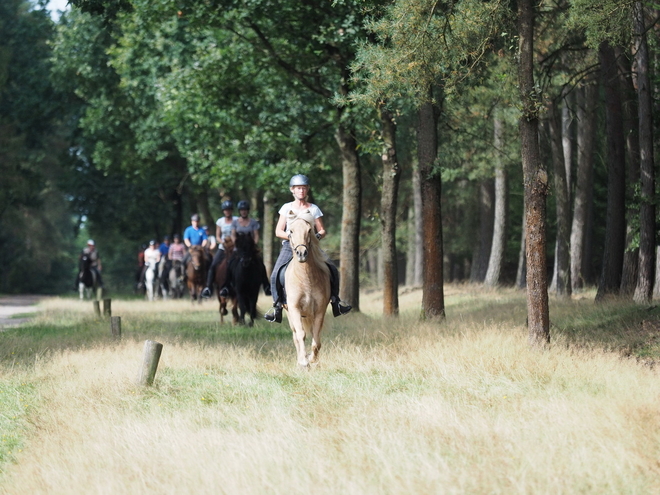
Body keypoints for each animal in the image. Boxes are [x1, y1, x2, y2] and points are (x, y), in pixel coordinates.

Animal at [284, 210, 330, 368]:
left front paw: (312, 359)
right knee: (295, 335)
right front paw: (304, 361)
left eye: (309, 230)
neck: (305, 278)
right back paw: (300, 360)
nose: (302, 253)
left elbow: (316, 340)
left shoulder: (320, 310)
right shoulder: (294, 308)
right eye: (290, 231)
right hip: (289, 314)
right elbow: (300, 335)